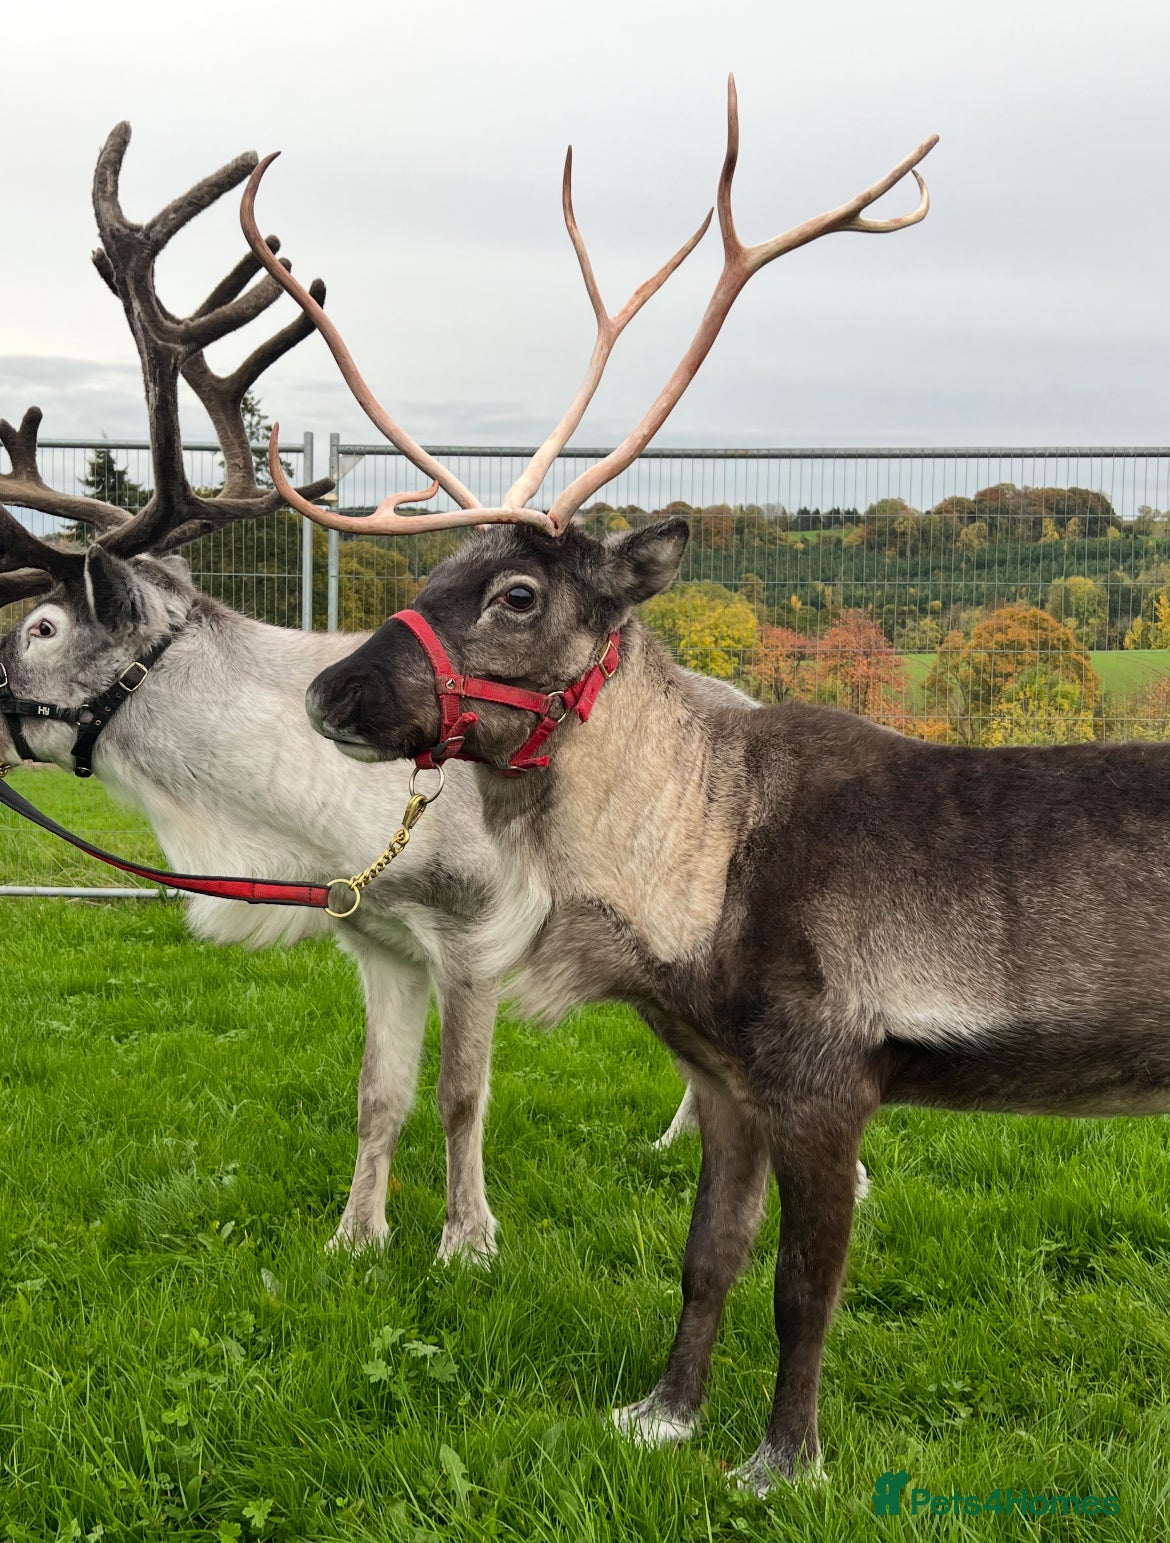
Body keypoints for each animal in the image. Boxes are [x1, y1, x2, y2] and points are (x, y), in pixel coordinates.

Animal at [246, 79, 1170, 1491]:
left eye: (518, 594)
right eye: (436, 572)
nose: (329, 693)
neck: (689, 890)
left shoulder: (831, 1073)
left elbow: (804, 1289)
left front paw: (782, 1459)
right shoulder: (726, 1083)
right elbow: (705, 1261)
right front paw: (663, 1413)